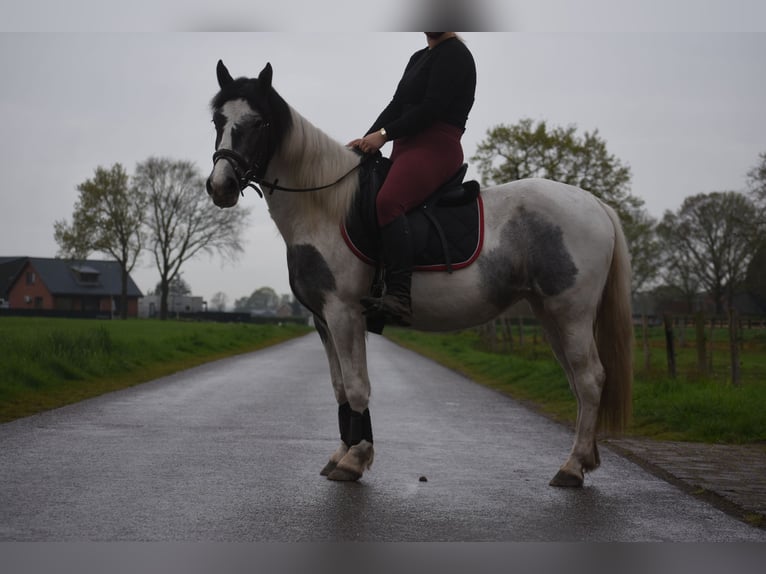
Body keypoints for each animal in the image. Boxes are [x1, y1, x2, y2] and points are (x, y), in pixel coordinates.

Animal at [205, 60, 634, 488]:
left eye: (259, 122)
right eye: (217, 120)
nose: (220, 186)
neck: (325, 206)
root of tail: (594, 203)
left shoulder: (344, 312)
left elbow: (357, 387)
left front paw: (355, 459)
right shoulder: (322, 318)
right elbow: (340, 388)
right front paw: (342, 453)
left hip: (571, 311)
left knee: (591, 379)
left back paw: (572, 466)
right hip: (550, 314)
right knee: (577, 380)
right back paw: (585, 458)